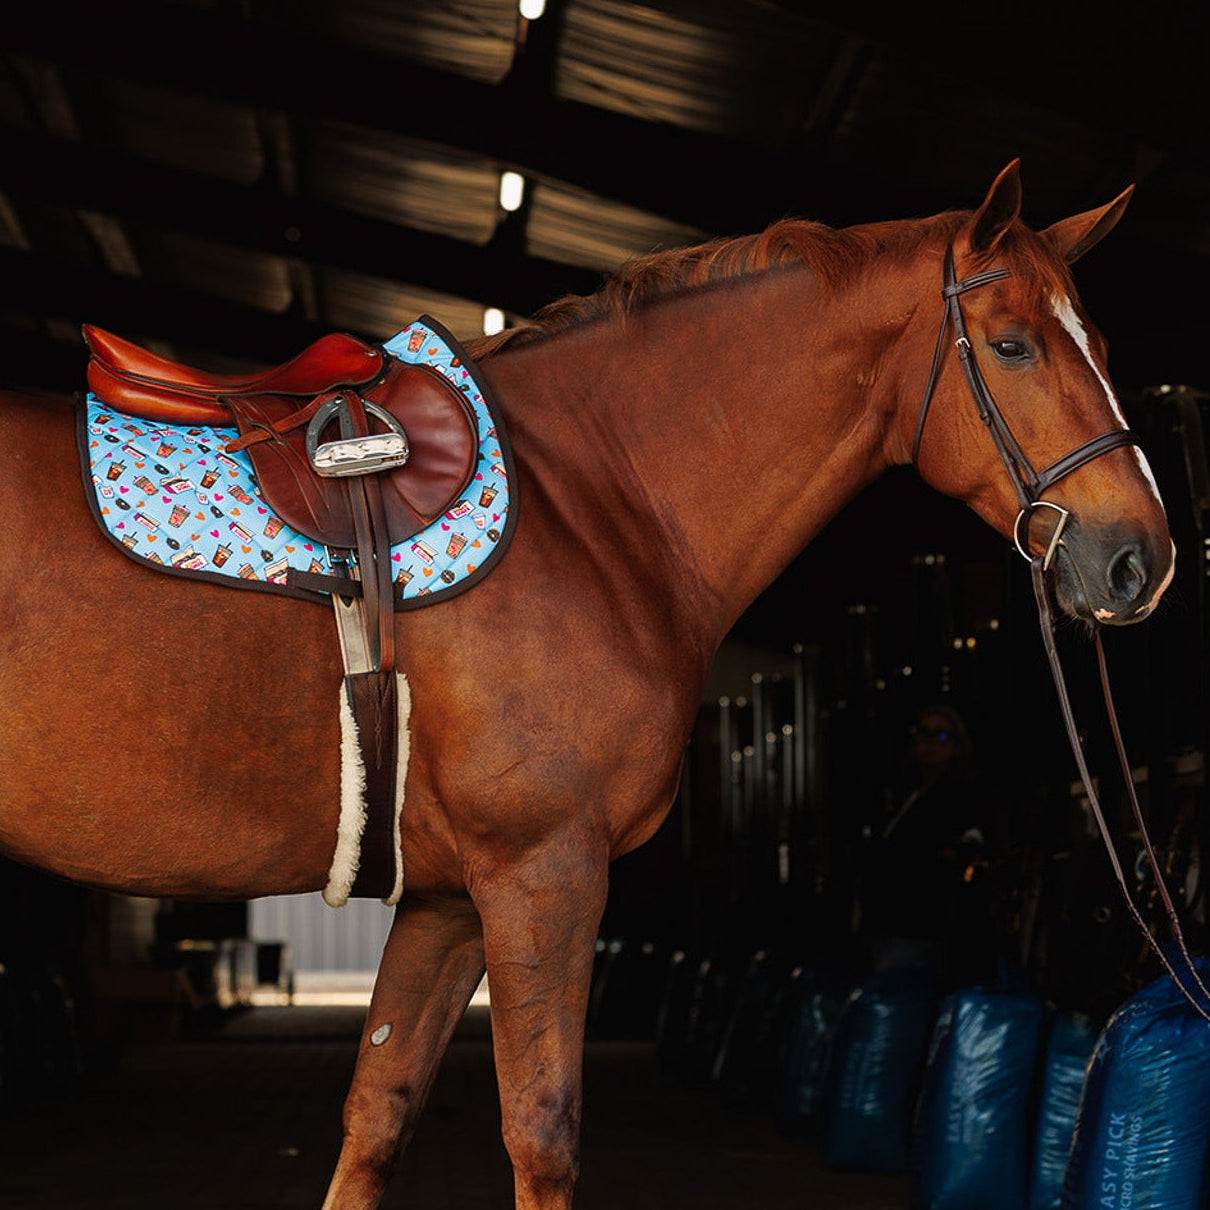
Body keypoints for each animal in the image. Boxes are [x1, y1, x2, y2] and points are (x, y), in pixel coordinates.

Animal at [0, 160, 1173, 1209]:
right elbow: (543, 1132)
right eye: (1013, 345)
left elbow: (377, 1113)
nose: (1138, 560)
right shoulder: (544, 872)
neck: (596, 504)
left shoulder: (444, 901)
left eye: (1107, 346)